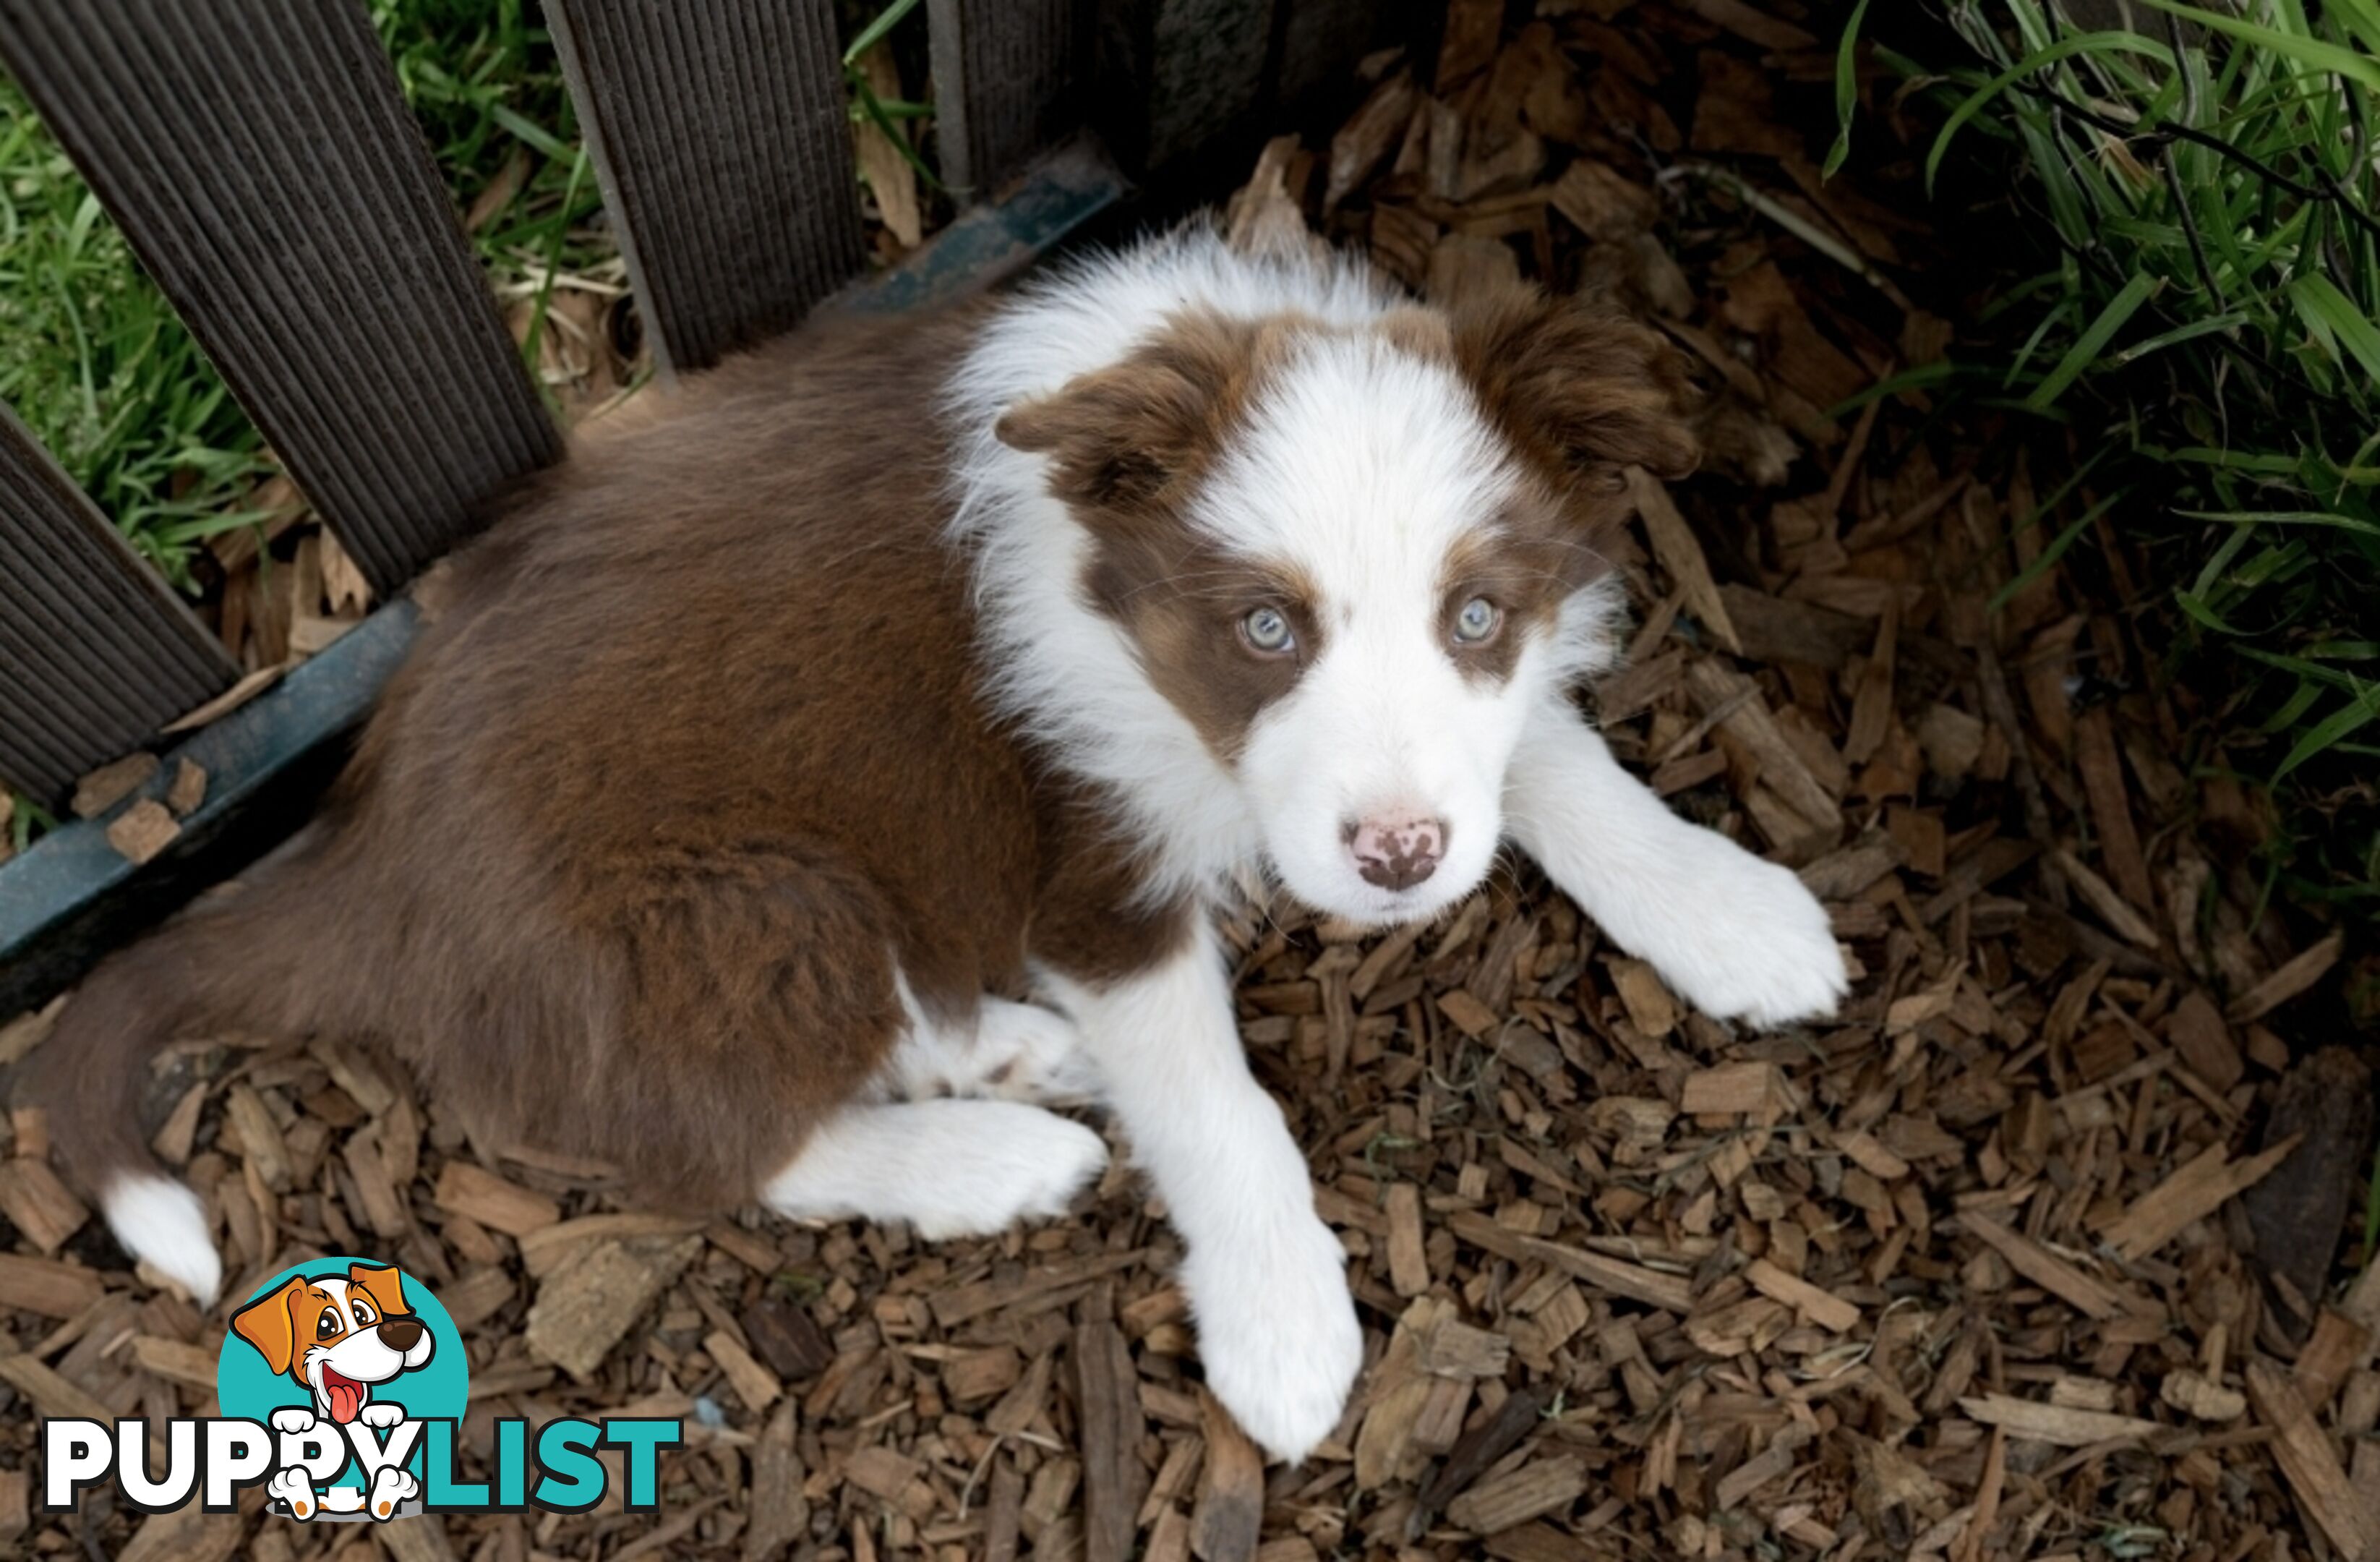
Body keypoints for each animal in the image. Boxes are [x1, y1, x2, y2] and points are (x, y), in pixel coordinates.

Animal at [23, 222, 1837, 1467]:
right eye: (1263, 628)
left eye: (1475, 614)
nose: (1395, 859)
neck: (1109, 582)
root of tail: (360, 863)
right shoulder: (1086, 859)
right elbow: (1216, 1104)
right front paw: (1283, 1321)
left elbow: (1545, 752)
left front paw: (1731, 911)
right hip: (752, 903)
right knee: (715, 1141)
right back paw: (989, 1156)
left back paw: (1002, 1052)